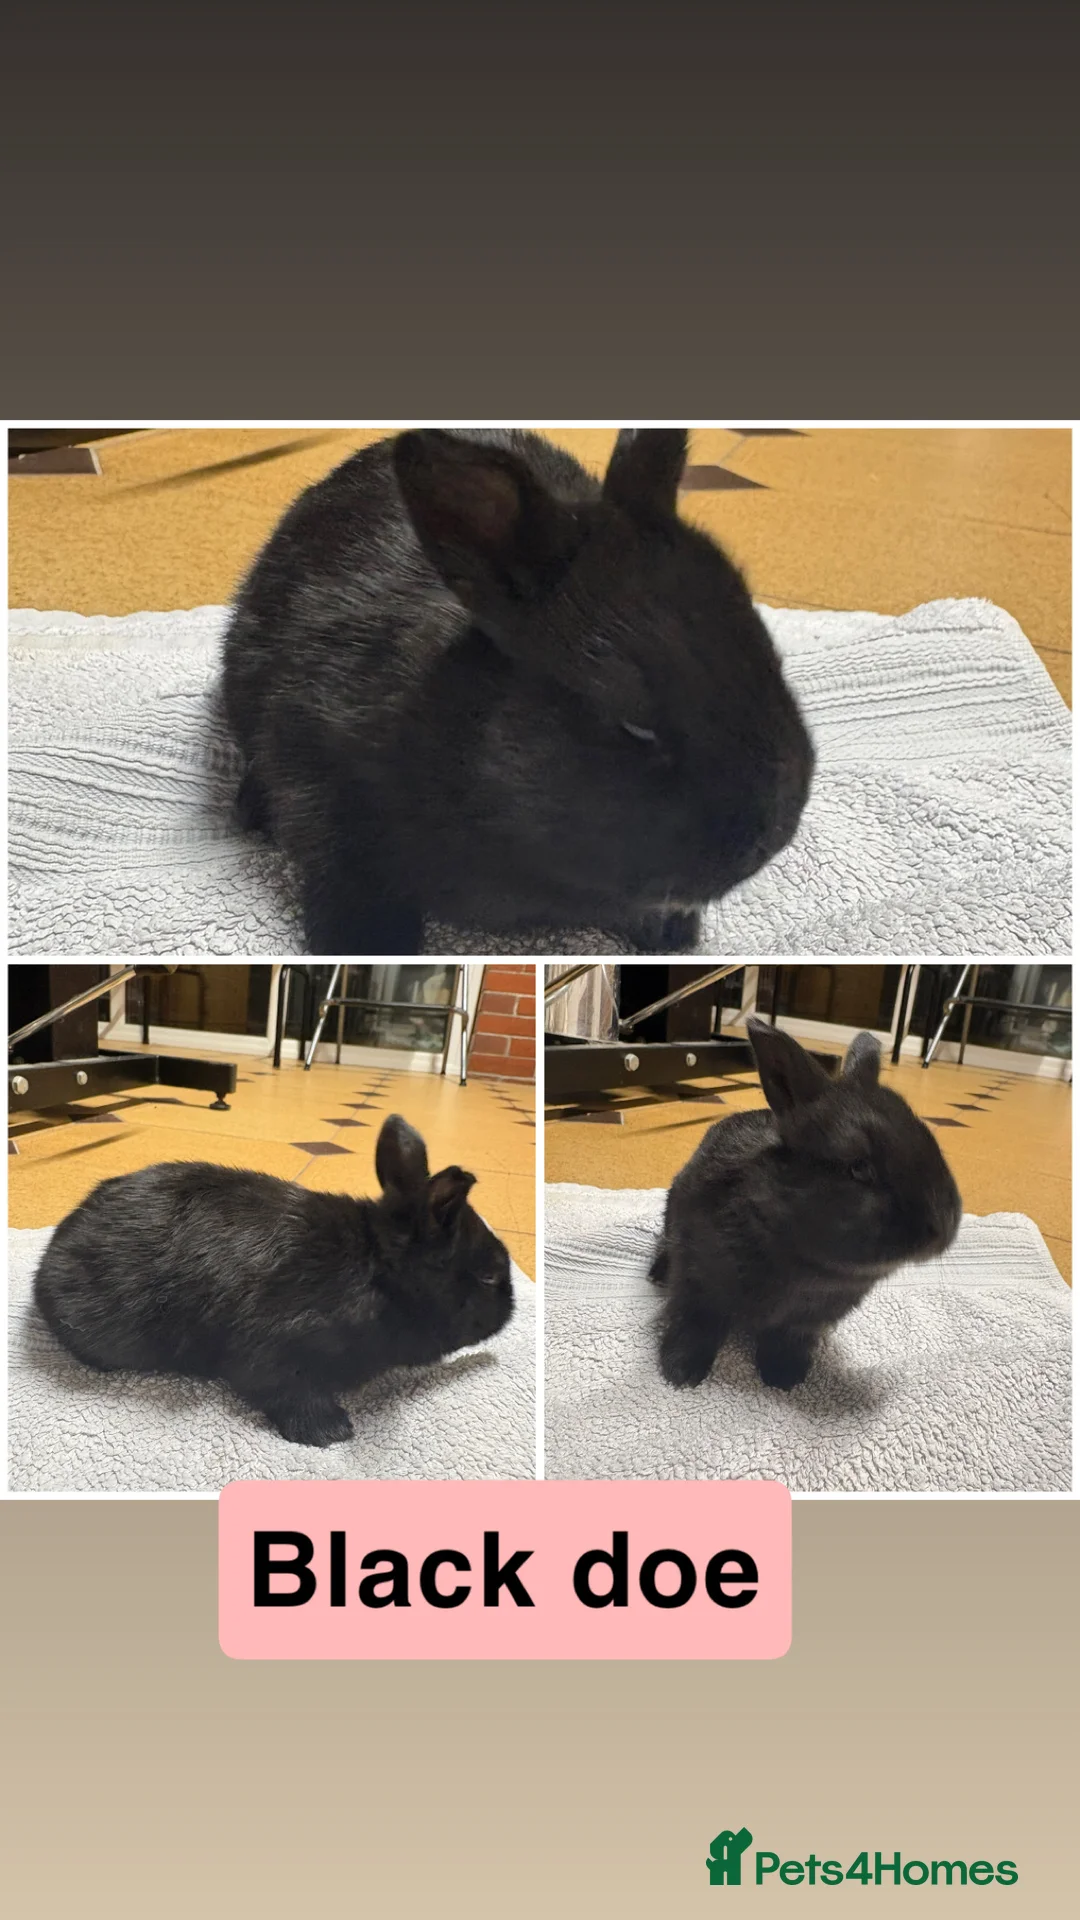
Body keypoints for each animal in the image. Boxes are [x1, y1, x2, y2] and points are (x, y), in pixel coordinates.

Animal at [32, 1114, 514, 1447]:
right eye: (489, 1276)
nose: (510, 1311)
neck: (375, 1270)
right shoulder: (278, 1350)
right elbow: (287, 1392)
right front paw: (331, 1431)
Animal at [221, 428, 815, 955]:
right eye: (634, 722)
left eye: (770, 654)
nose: (773, 837)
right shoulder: (317, 774)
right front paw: (363, 946)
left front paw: (671, 933)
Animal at [649, 1016, 962, 1392]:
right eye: (858, 1168)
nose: (942, 1227)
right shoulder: (697, 1285)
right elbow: (694, 1324)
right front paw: (680, 1373)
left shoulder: (802, 1324)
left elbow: (786, 1340)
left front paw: (786, 1376)